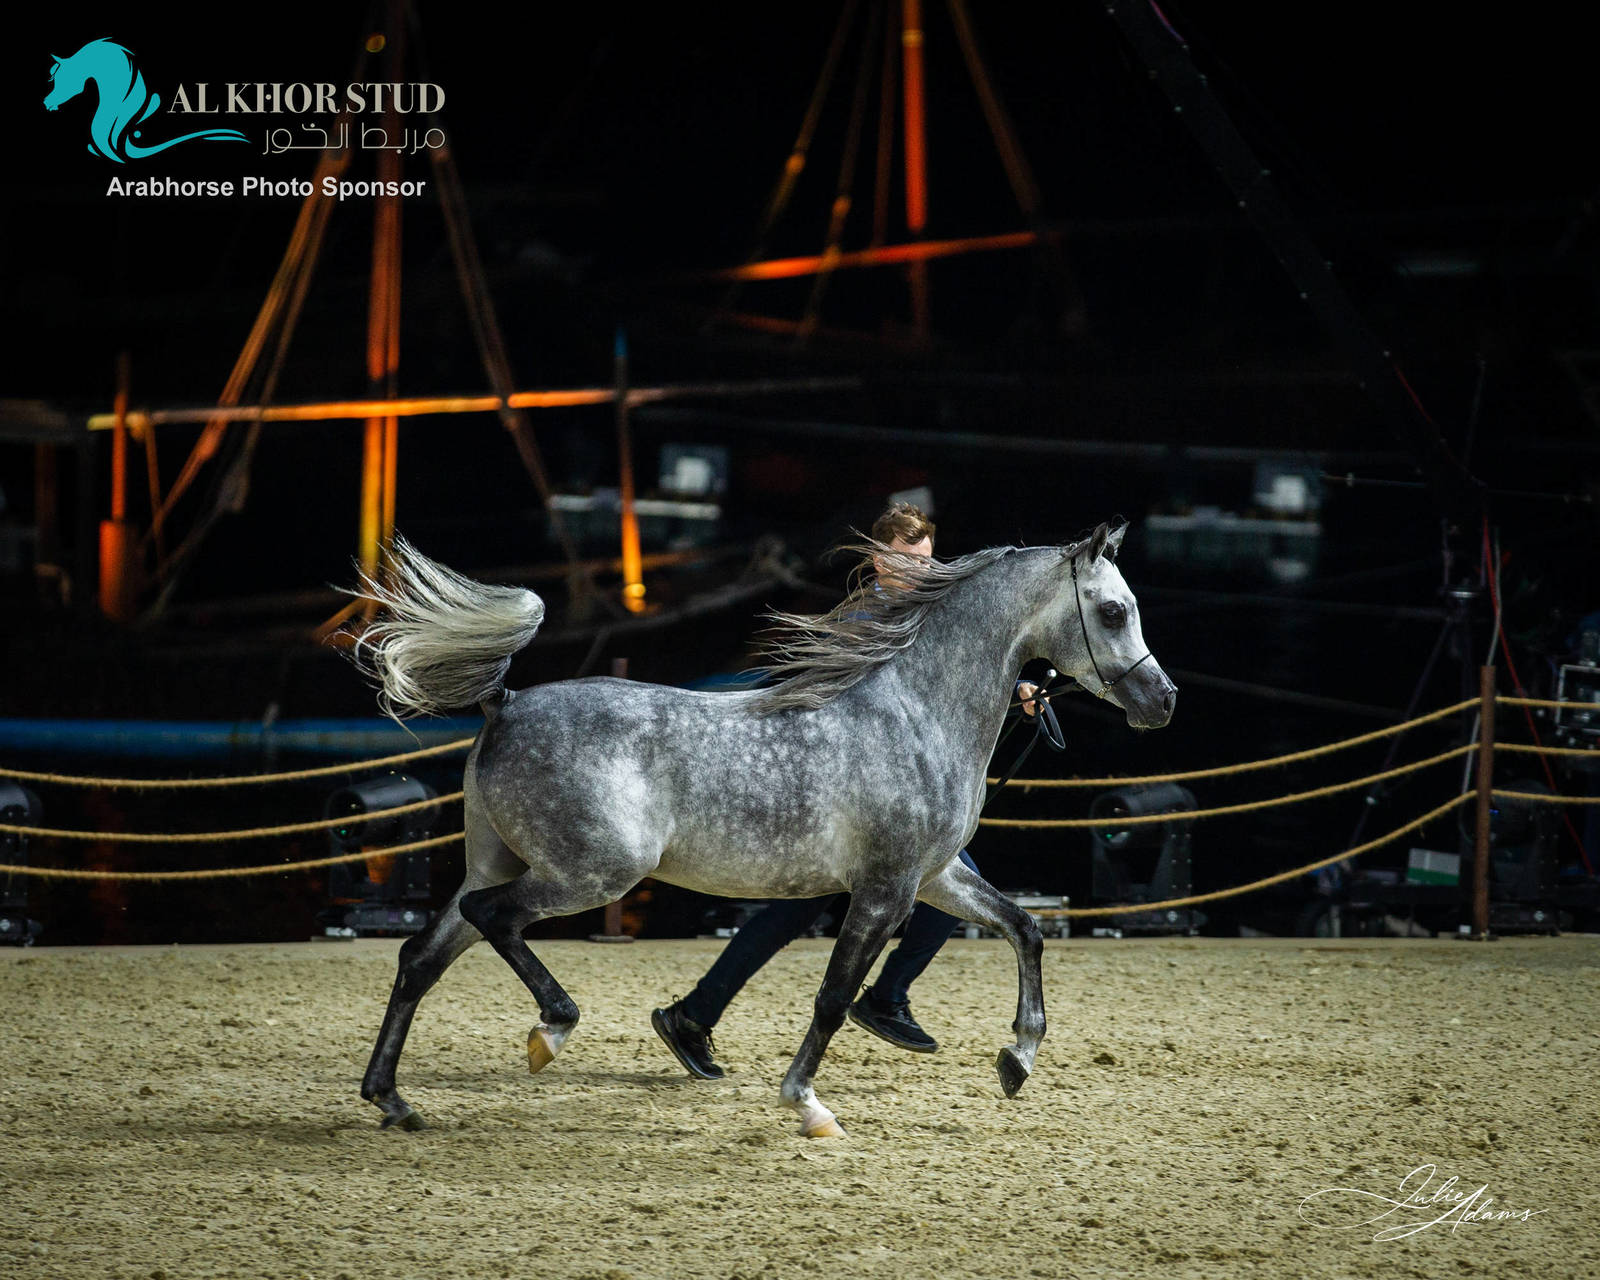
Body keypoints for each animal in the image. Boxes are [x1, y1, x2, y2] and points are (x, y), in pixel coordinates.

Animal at [350, 520, 1176, 1137]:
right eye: (1112, 611)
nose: (1162, 700)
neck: (915, 712)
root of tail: (507, 703)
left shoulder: (937, 875)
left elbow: (1024, 930)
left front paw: (1017, 1058)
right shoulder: (885, 889)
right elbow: (834, 997)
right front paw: (806, 1104)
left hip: (499, 861)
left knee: (421, 956)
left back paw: (393, 1100)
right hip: (589, 873)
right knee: (492, 922)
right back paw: (549, 1032)